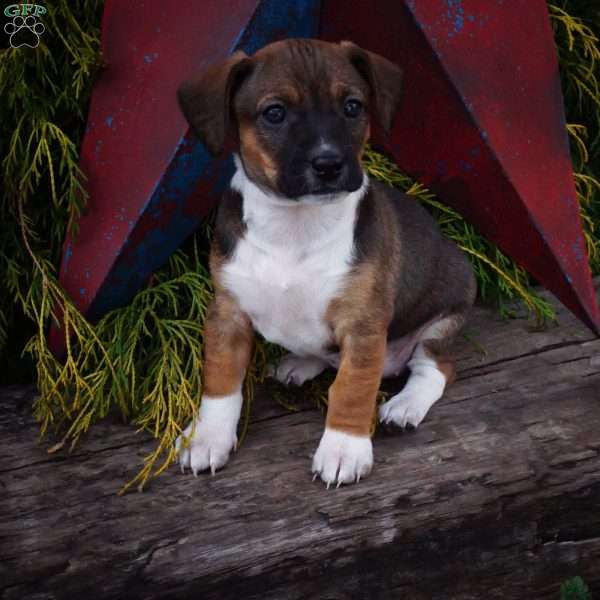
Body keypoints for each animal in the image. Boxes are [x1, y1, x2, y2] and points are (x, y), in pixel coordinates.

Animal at [175, 38, 478, 488]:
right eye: (274, 113)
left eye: (352, 107)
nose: (329, 164)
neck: (295, 225)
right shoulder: (227, 313)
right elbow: (220, 380)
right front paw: (207, 437)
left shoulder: (363, 325)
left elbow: (351, 388)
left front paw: (343, 449)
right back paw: (302, 362)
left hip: (443, 320)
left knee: (435, 368)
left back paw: (405, 405)